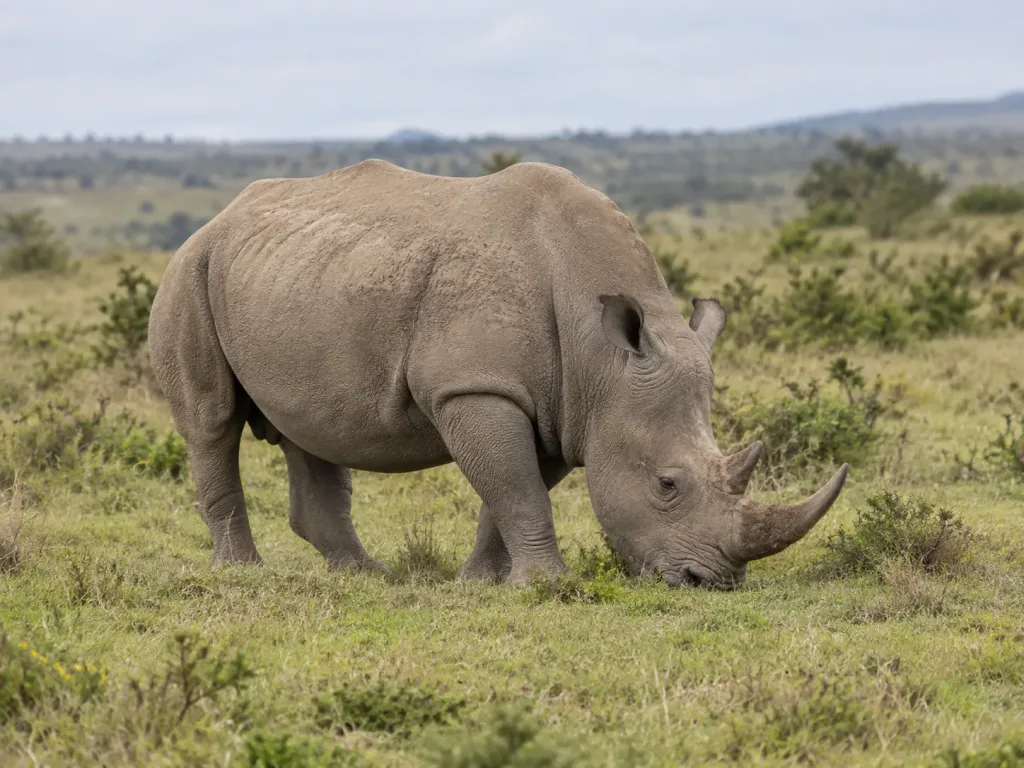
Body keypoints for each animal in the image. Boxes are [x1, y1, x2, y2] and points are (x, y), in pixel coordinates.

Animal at [148, 159, 848, 589]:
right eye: (667, 484)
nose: (713, 583)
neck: (604, 357)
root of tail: (216, 219)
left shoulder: (568, 405)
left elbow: (510, 492)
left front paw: (483, 582)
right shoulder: (477, 386)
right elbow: (516, 488)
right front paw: (550, 584)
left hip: (296, 275)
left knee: (313, 431)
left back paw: (367, 576)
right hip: (190, 272)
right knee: (212, 422)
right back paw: (243, 573)